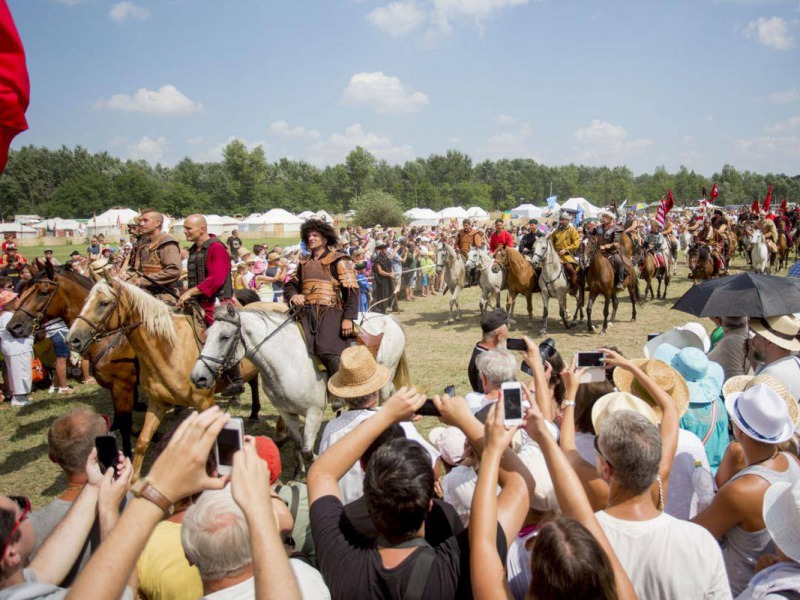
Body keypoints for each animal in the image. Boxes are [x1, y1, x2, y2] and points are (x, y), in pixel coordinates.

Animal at [66, 276, 260, 478]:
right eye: (86, 300)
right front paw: (133, 477)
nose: (73, 339)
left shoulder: (204, 402)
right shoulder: (156, 402)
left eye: (104, 303)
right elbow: (141, 439)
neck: (169, 349)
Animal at [190, 304, 410, 478]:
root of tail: (389, 319)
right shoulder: (286, 412)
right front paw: (298, 473)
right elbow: (297, 443)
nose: (197, 377)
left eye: (224, 337)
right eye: (206, 335)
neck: (286, 361)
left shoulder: (314, 413)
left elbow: (307, 450)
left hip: (385, 378)